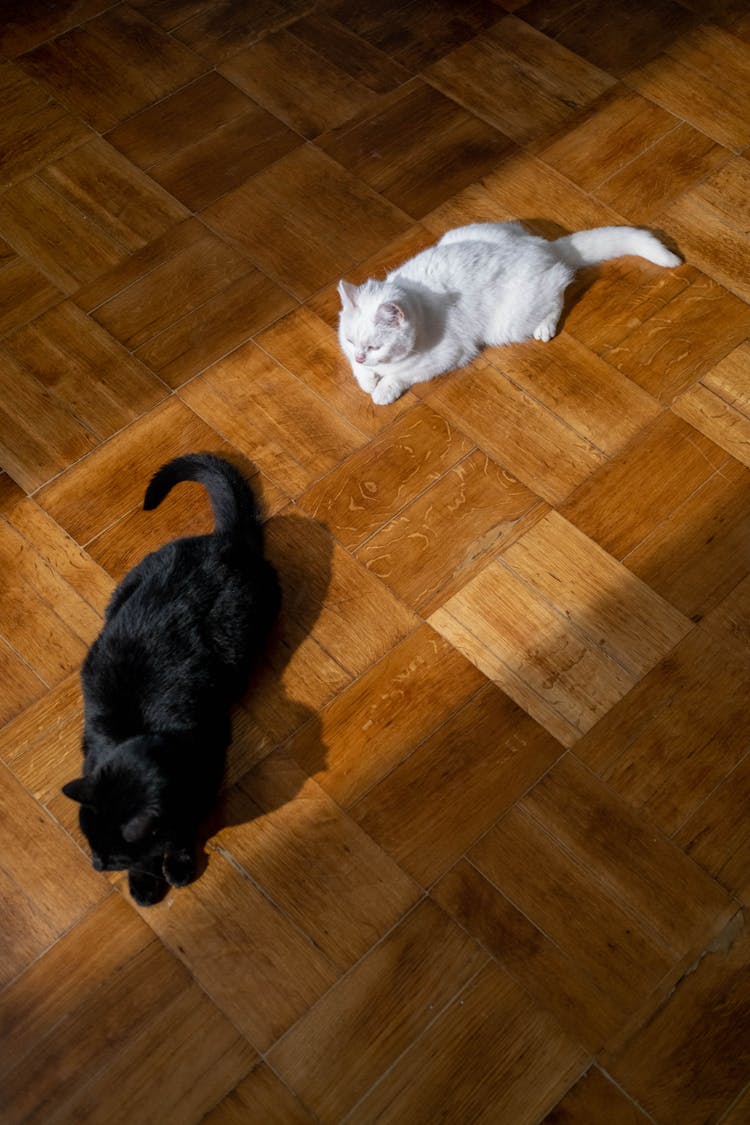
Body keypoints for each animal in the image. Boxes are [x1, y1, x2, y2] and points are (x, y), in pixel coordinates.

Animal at [62, 452, 281, 900]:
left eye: (112, 857)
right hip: (127, 587)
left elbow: (182, 830)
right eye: (91, 845)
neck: (140, 733)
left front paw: (176, 865)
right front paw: (146, 881)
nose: (96, 865)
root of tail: (222, 541)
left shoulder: (207, 772)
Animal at [339, 220, 679, 405]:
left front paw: (382, 389)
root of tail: (542, 247)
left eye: (375, 346)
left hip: (507, 324)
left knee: (560, 287)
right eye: (351, 341)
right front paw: (367, 379)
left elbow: (401, 373)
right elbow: (360, 372)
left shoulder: (446, 355)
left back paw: (545, 328)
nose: (361, 356)